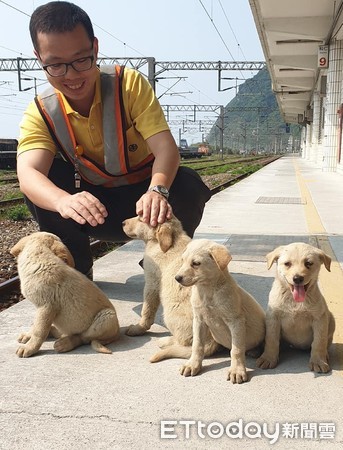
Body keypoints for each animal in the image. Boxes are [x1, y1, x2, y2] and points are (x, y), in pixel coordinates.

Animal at [122, 215, 219, 362]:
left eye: (141, 218)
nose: (122, 223)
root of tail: (210, 344)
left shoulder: (152, 282)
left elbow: (147, 310)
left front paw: (138, 328)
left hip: (170, 314)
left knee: (183, 342)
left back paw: (166, 341)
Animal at [176, 239, 268, 384]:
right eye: (183, 260)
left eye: (196, 263)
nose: (177, 278)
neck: (208, 291)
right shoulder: (199, 321)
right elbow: (197, 345)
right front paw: (192, 365)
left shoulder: (236, 321)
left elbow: (236, 350)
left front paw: (237, 371)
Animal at [258, 243, 336, 372]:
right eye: (287, 264)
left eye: (308, 263)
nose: (297, 278)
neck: (295, 301)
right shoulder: (273, 318)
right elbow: (271, 339)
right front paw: (268, 358)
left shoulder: (319, 319)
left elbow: (319, 342)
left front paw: (318, 361)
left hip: (330, 318)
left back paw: (325, 354)